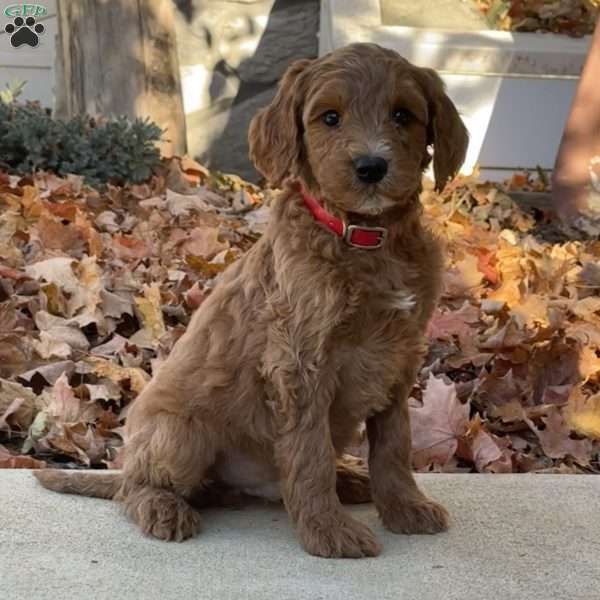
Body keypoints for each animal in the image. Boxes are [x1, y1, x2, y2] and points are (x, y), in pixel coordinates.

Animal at [36, 42, 468, 556]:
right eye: (329, 117)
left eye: (403, 115)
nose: (371, 167)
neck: (365, 238)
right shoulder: (300, 361)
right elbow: (309, 453)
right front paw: (328, 531)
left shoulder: (400, 354)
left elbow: (394, 443)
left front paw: (405, 507)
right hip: (178, 433)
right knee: (135, 488)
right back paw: (164, 508)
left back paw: (347, 480)